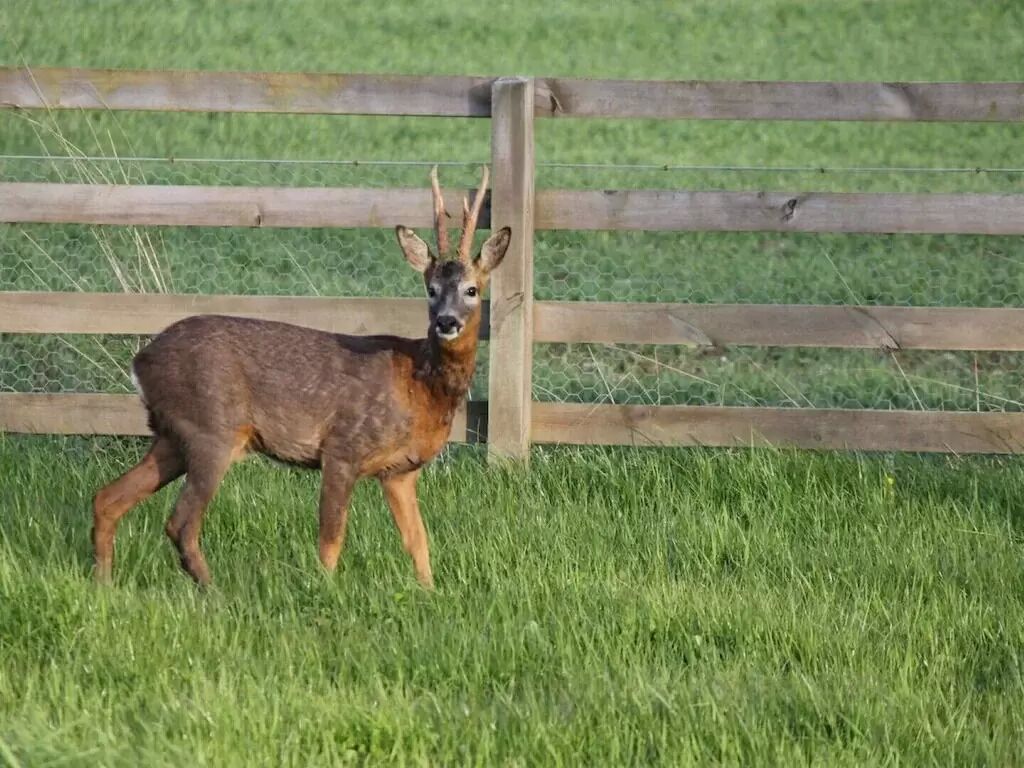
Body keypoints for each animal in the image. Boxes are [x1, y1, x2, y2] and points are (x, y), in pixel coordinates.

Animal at [91, 166, 509, 589]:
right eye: (431, 289)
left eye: (472, 289)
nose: (447, 322)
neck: (420, 385)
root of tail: (140, 361)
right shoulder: (342, 448)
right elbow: (331, 539)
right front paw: (326, 590)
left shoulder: (400, 472)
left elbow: (418, 542)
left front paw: (429, 591)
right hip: (212, 428)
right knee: (181, 523)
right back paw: (213, 591)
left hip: (173, 436)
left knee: (107, 499)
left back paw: (104, 582)